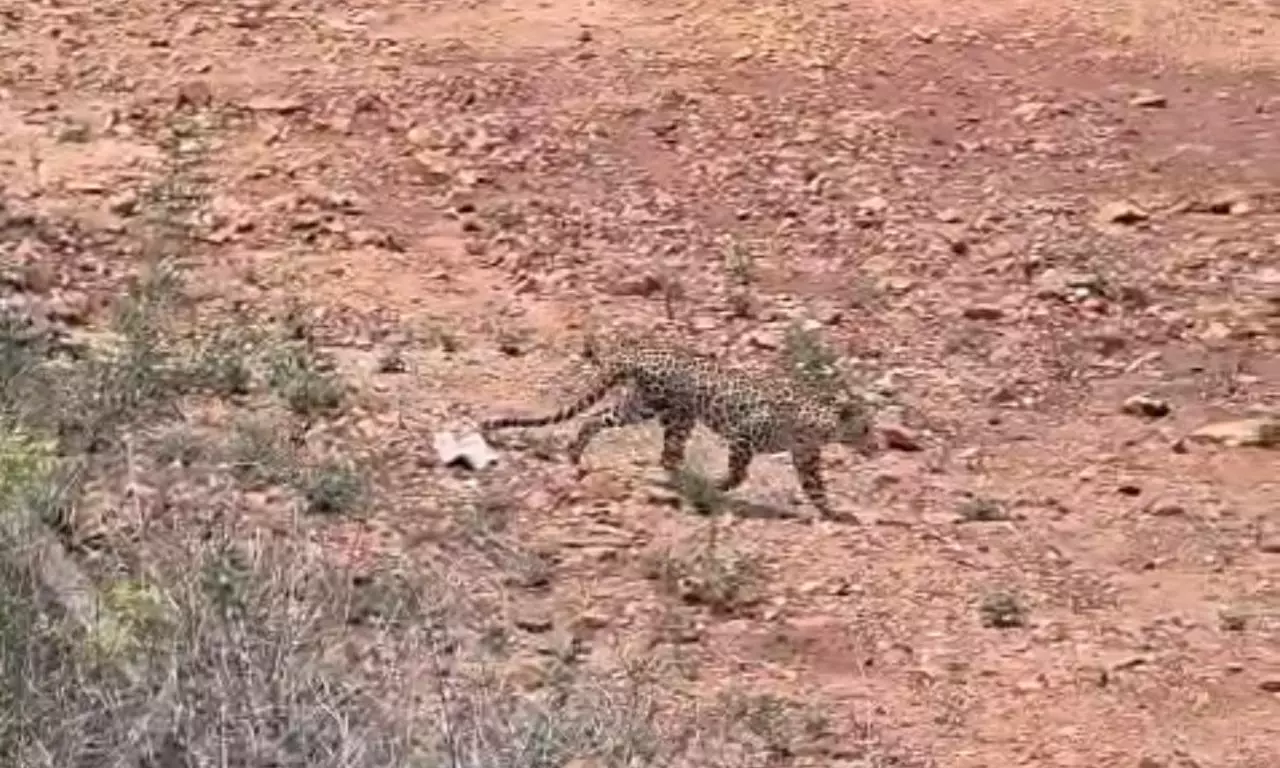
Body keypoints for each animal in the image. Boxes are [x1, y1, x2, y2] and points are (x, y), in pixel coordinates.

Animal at [479, 335, 878, 522]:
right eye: (866, 429)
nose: (878, 445)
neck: (818, 426)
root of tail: (637, 352)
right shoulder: (743, 435)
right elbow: (738, 473)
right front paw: (719, 486)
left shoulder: (806, 458)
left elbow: (816, 489)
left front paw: (833, 514)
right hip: (652, 407)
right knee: (599, 421)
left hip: (667, 413)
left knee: (659, 451)